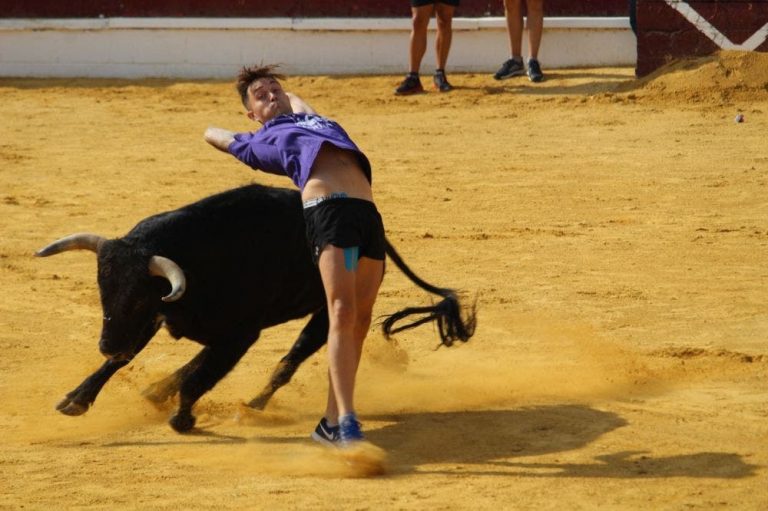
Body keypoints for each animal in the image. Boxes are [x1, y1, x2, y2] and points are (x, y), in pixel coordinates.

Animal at [39, 184, 476, 432]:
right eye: (103, 289)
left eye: (140, 294)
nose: (106, 344)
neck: (197, 257)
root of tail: (376, 232)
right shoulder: (155, 318)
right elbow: (130, 362)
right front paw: (76, 400)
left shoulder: (239, 334)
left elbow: (203, 376)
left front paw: (184, 419)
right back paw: (158, 389)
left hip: (331, 311)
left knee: (287, 362)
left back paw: (250, 408)